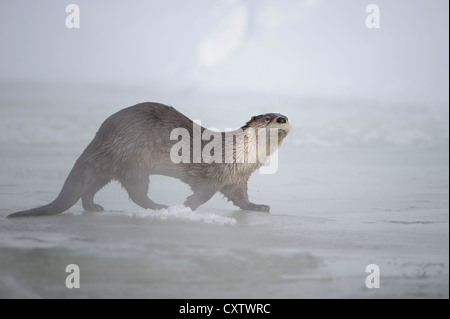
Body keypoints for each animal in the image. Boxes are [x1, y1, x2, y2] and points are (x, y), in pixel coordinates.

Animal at [7, 104, 292, 219]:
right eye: (267, 118)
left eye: (284, 115)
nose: (282, 118)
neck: (239, 155)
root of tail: (101, 136)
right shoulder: (214, 172)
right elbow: (203, 193)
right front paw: (186, 206)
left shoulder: (237, 178)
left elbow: (241, 199)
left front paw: (258, 206)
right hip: (135, 159)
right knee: (136, 192)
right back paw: (159, 207)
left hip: (111, 165)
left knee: (91, 187)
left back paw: (94, 207)